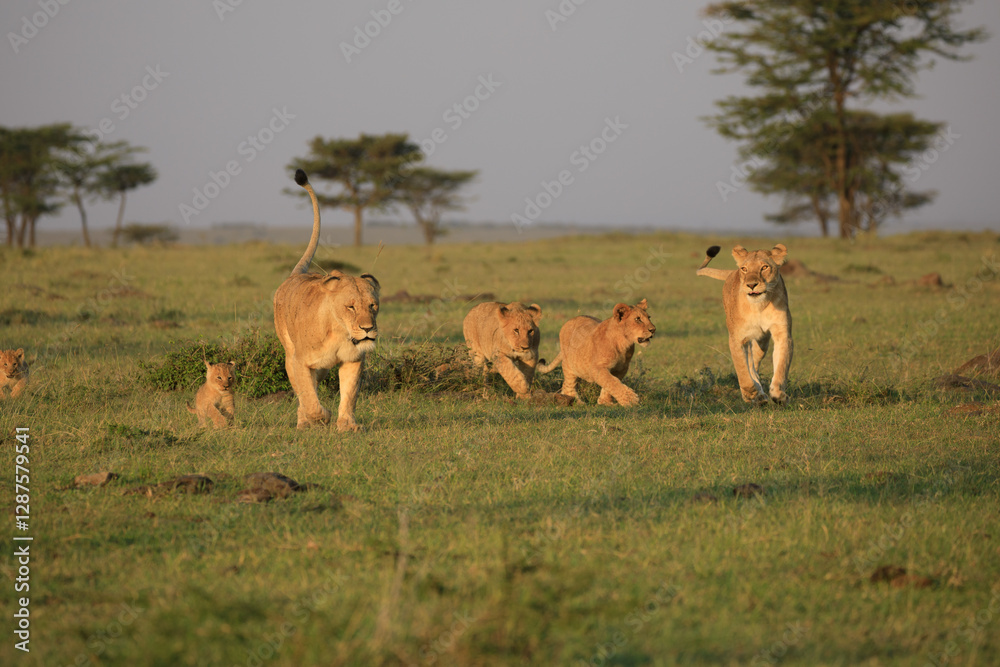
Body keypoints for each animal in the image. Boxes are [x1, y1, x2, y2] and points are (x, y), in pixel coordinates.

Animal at [273, 169, 381, 431]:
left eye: (372, 306)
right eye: (350, 307)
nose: (368, 329)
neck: (341, 331)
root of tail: (295, 275)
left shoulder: (353, 360)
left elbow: (349, 394)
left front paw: (347, 425)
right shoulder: (301, 361)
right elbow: (308, 396)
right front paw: (321, 417)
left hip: (321, 368)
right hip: (290, 354)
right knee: (302, 390)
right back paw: (304, 421)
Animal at [696, 243, 792, 404]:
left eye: (764, 267)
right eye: (745, 269)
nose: (751, 285)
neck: (758, 306)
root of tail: (731, 272)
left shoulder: (782, 334)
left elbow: (781, 366)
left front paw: (778, 395)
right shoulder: (737, 339)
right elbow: (742, 370)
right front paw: (750, 394)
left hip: (762, 342)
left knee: (754, 362)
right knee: (750, 367)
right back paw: (757, 395)